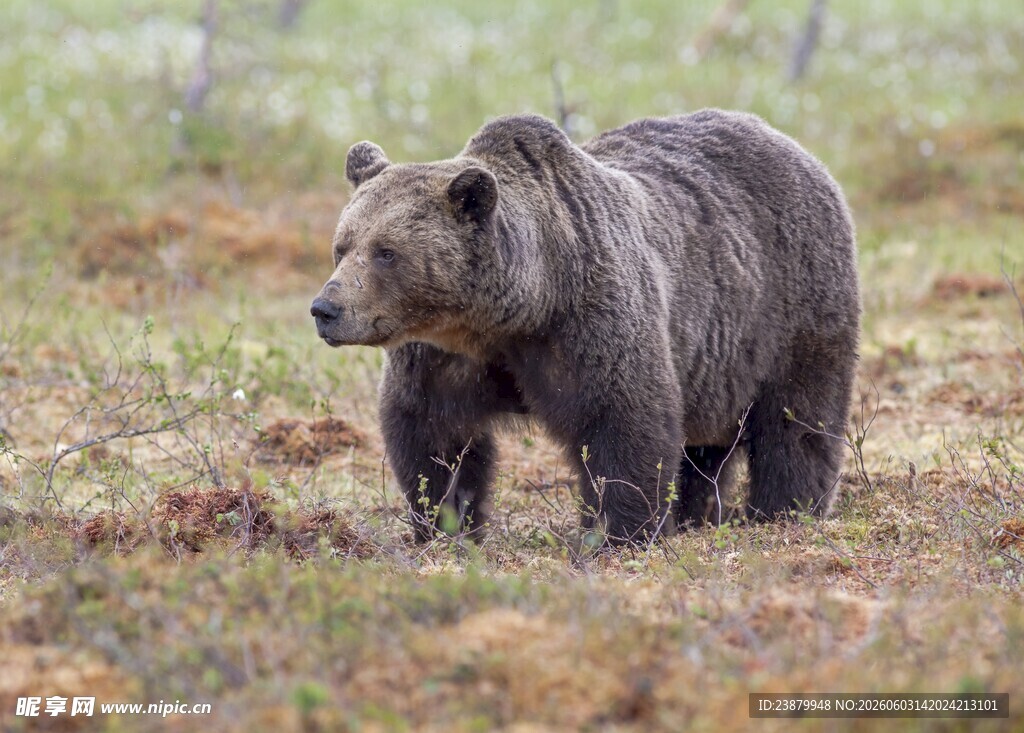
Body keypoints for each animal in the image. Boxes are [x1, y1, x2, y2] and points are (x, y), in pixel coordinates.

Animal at [311, 109, 860, 544]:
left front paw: (619, 531)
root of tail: (791, 144)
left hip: (793, 303)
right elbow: (433, 435)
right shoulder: (443, 356)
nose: (325, 308)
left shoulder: (589, 321)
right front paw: (445, 524)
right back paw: (696, 515)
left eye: (386, 252)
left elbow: (624, 422)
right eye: (343, 245)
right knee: (704, 449)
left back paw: (785, 512)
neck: (515, 312)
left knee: (796, 421)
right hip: (716, 363)